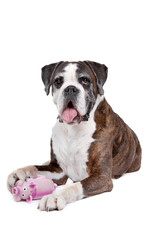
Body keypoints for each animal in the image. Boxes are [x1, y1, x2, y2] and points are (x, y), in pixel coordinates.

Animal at [7, 61, 141, 211]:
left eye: (85, 80)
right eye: (58, 81)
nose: (70, 89)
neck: (72, 129)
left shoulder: (102, 177)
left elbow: (75, 186)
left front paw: (54, 197)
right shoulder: (58, 171)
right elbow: (36, 168)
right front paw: (19, 173)